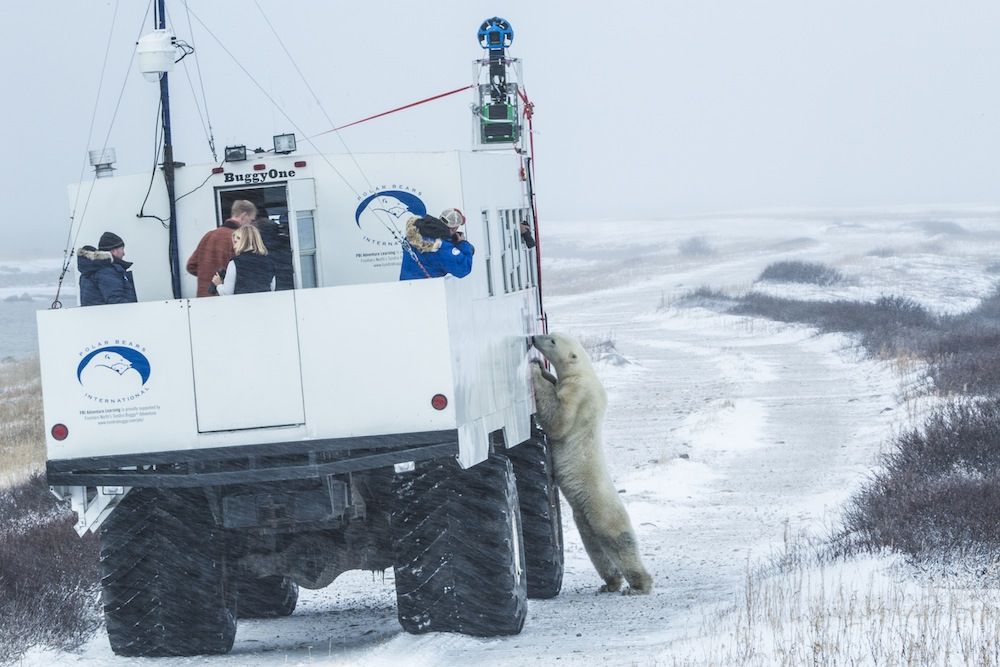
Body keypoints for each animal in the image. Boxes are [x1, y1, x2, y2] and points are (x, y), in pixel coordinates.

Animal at [528, 334, 652, 596]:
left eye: (552, 341)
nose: (534, 337)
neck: (584, 372)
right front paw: (544, 370)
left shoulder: (577, 394)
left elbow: (558, 420)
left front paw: (535, 370)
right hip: (584, 515)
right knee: (594, 545)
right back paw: (610, 583)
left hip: (602, 508)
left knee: (618, 540)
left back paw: (639, 585)